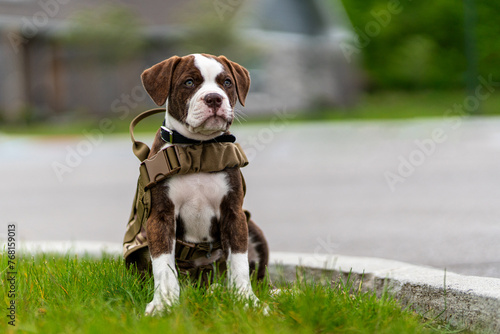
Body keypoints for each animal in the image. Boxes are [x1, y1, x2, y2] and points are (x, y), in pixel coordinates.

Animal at [139, 53, 272, 314]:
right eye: (189, 82)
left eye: (227, 82)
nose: (214, 98)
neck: (198, 149)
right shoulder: (160, 217)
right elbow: (163, 264)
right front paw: (164, 303)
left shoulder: (234, 213)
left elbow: (239, 262)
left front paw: (246, 301)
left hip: (253, 228)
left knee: (256, 277)